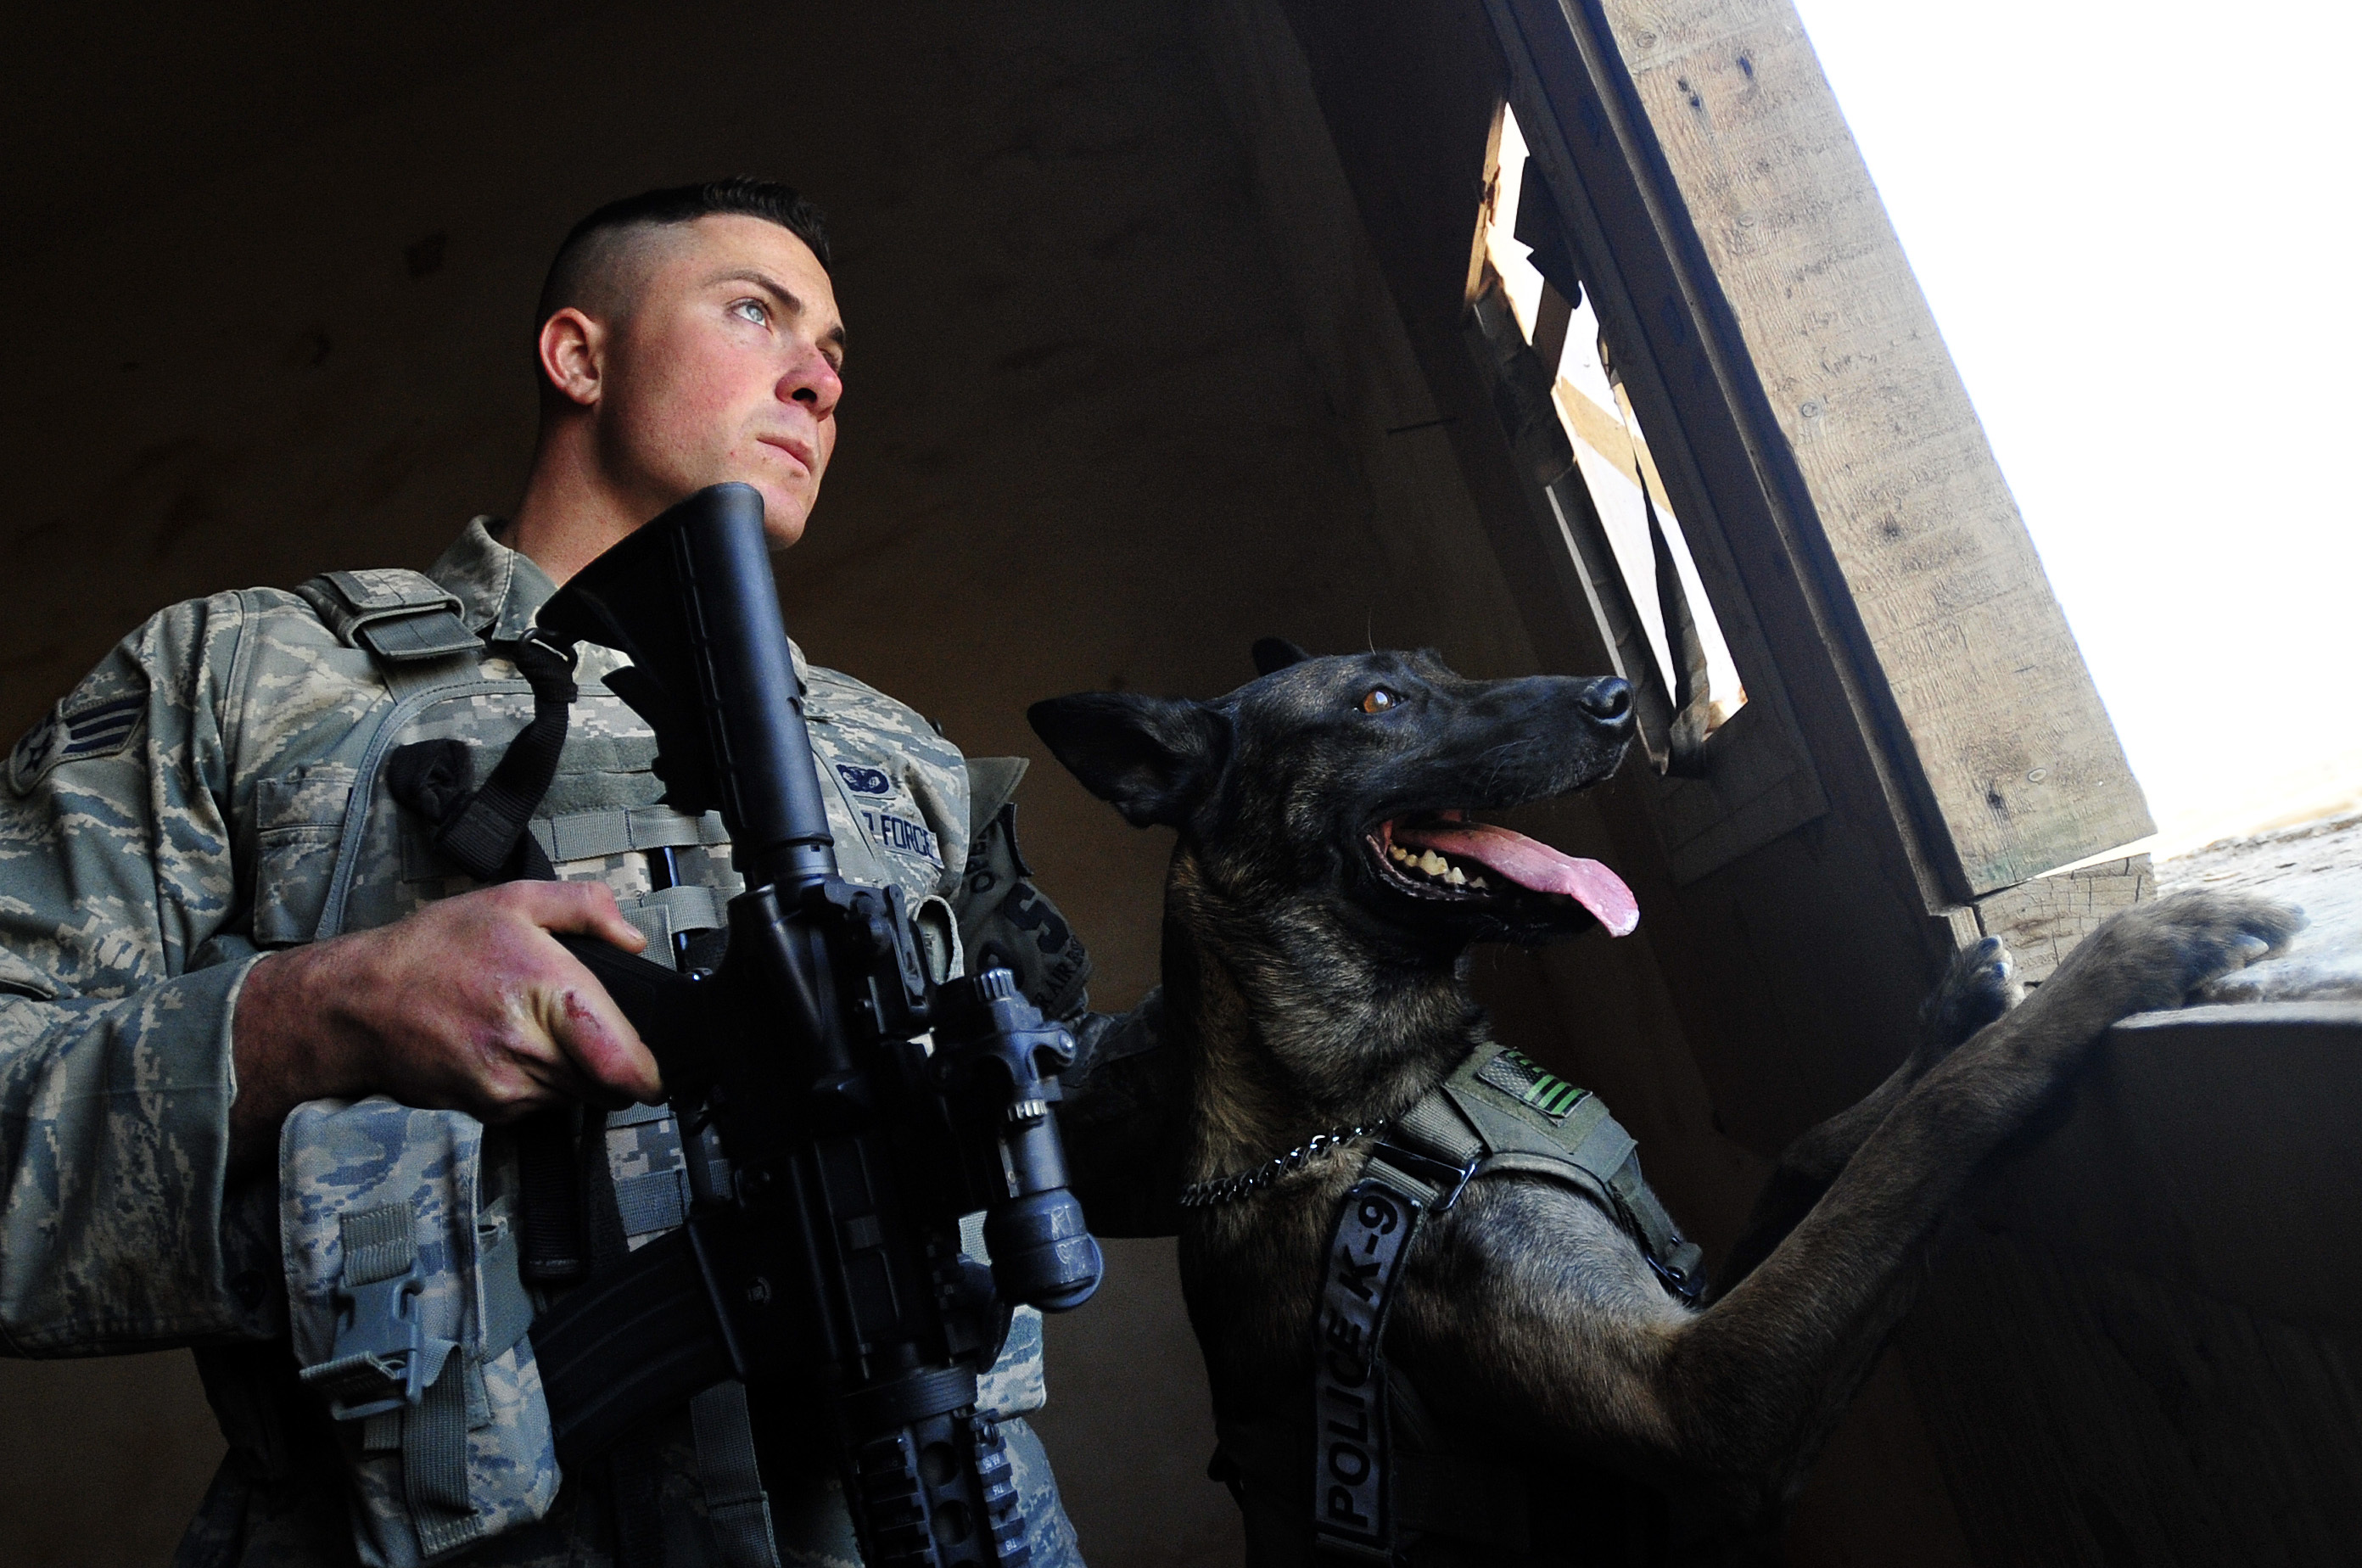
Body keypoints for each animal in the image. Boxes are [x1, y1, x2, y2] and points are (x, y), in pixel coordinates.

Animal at [1025, 642, 2296, 1568]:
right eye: (1379, 700)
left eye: (1432, 665)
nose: (1615, 696)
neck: (1349, 1115)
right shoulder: (1697, 1401)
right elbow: (1921, 1136)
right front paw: (2119, 959)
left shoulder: (1705, 1297)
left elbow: (1823, 1148)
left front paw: (1954, 1012)